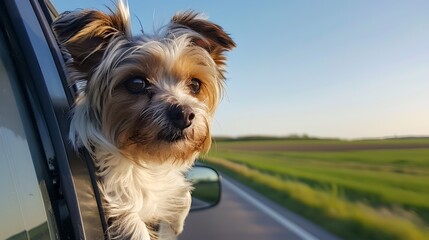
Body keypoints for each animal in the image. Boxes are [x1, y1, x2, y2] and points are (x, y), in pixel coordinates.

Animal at [52, 0, 236, 239]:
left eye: (195, 85)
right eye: (137, 83)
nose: (185, 114)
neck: (146, 158)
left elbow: (180, 191)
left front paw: (176, 220)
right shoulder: (119, 200)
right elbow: (133, 223)